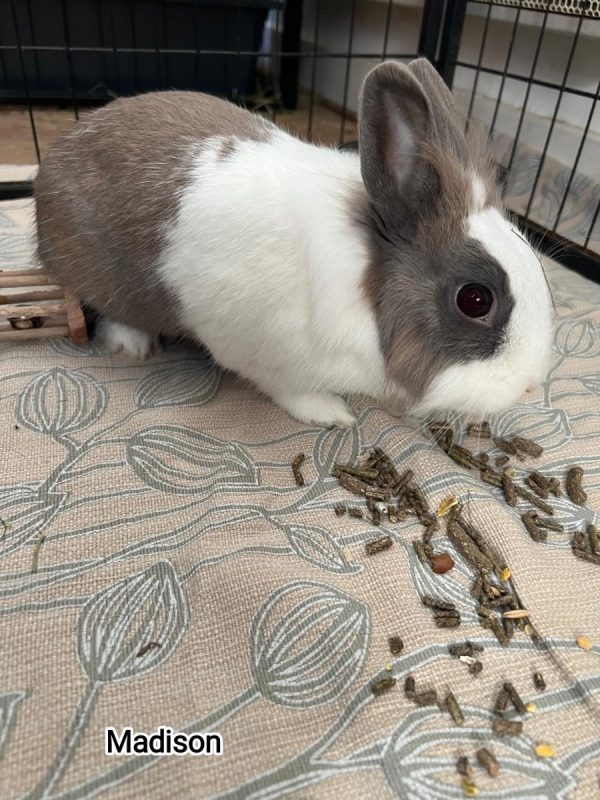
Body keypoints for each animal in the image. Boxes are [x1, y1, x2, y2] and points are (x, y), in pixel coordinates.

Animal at [35, 58, 553, 428]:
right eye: (474, 299)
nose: (531, 385)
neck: (367, 287)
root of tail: (50, 168)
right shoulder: (260, 352)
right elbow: (291, 392)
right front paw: (333, 415)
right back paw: (134, 342)